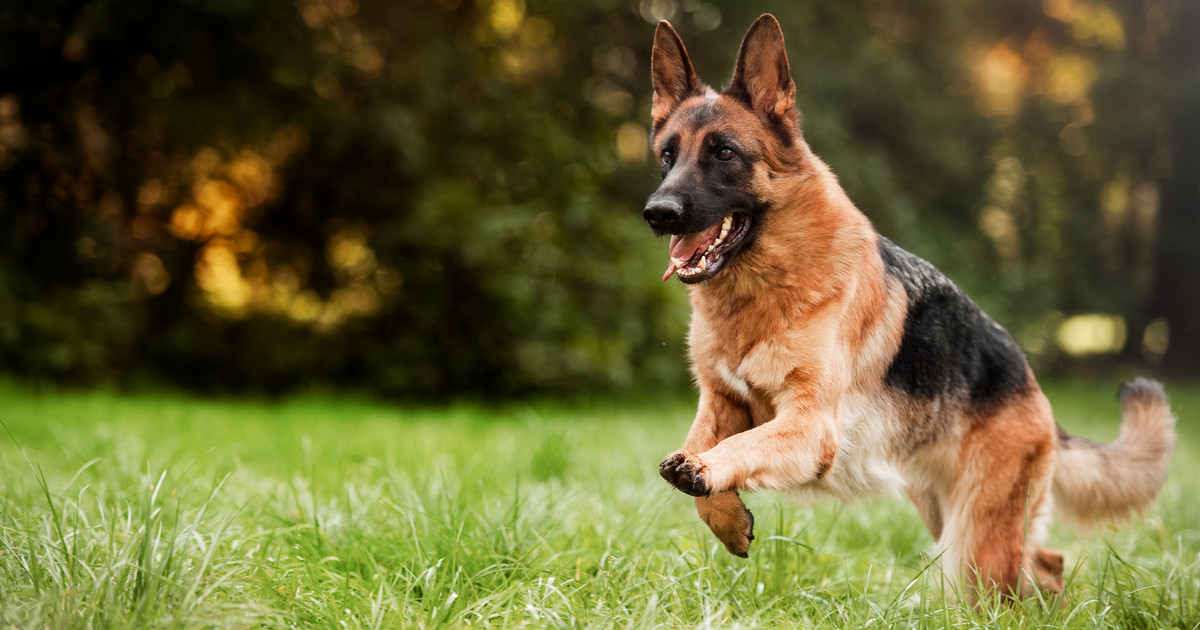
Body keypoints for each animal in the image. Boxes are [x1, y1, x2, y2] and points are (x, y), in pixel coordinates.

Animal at [643, 12, 1176, 597]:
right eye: (668, 155)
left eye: (724, 153)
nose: (657, 213)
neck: (761, 293)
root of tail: (1033, 387)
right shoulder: (720, 403)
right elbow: (698, 453)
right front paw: (726, 516)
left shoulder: (809, 426)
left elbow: (734, 451)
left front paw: (707, 474)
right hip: (948, 513)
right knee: (1046, 561)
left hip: (975, 541)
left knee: (1015, 579)